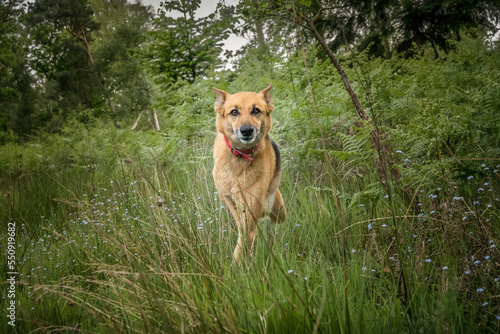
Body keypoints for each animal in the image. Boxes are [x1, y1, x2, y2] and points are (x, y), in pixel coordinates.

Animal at [213, 82, 288, 262]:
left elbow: (243, 241)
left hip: (279, 211)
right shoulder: (230, 201)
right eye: (234, 112)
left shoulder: (250, 211)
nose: (246, 130)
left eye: (256, 110)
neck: (240, 155)